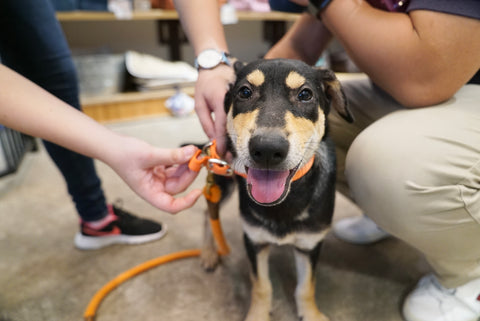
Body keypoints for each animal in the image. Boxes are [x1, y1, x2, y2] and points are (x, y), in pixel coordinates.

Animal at [199, 58, 352, 320]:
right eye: (245, 92)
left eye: (305, 94)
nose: (268, 149)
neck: (284, 202)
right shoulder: (254, 239)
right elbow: (261, 285)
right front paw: (258, 315)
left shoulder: (310, 244)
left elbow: (306, 287)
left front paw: (311, 314)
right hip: (219, 177)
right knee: (208, 213)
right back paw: (209, 253)